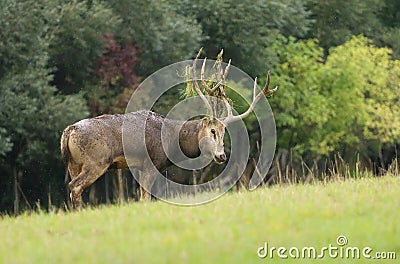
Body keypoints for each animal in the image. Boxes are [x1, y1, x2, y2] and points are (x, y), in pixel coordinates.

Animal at [61, 49, 276, 208]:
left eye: (224, 132)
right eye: (212, 131)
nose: (221, 155)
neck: (173, 140)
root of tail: (68, 132)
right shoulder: (150, 162)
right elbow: (145, 197)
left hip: (74, 163)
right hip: (96, 161)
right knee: (75, 186)